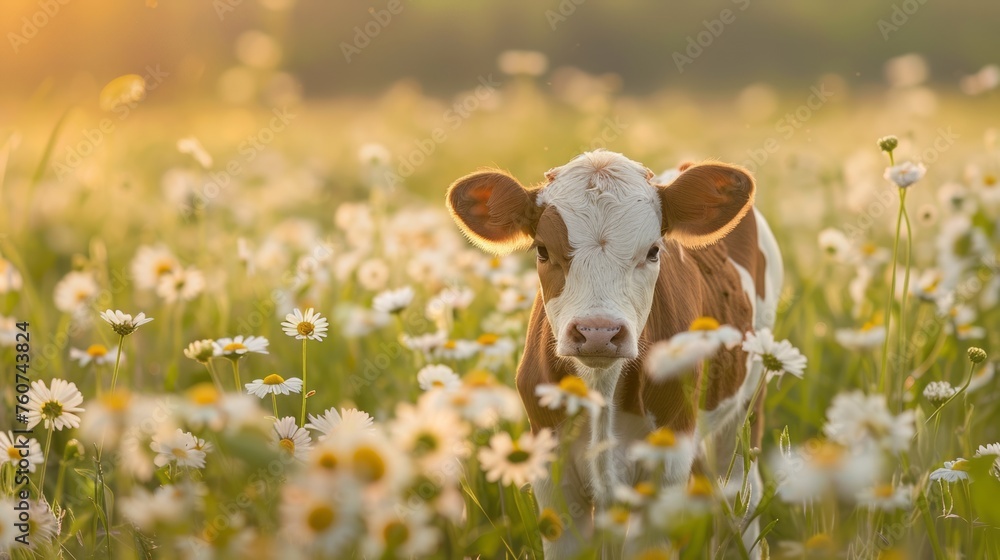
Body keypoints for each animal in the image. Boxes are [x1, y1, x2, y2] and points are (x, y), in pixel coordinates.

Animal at [446, 151, 780, 556]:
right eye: (542, 249)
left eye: (653, 251)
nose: (598, 333)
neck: (602, 386)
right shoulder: (552, 472)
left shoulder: (667, 462)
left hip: (747, 403)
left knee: (740, 497)